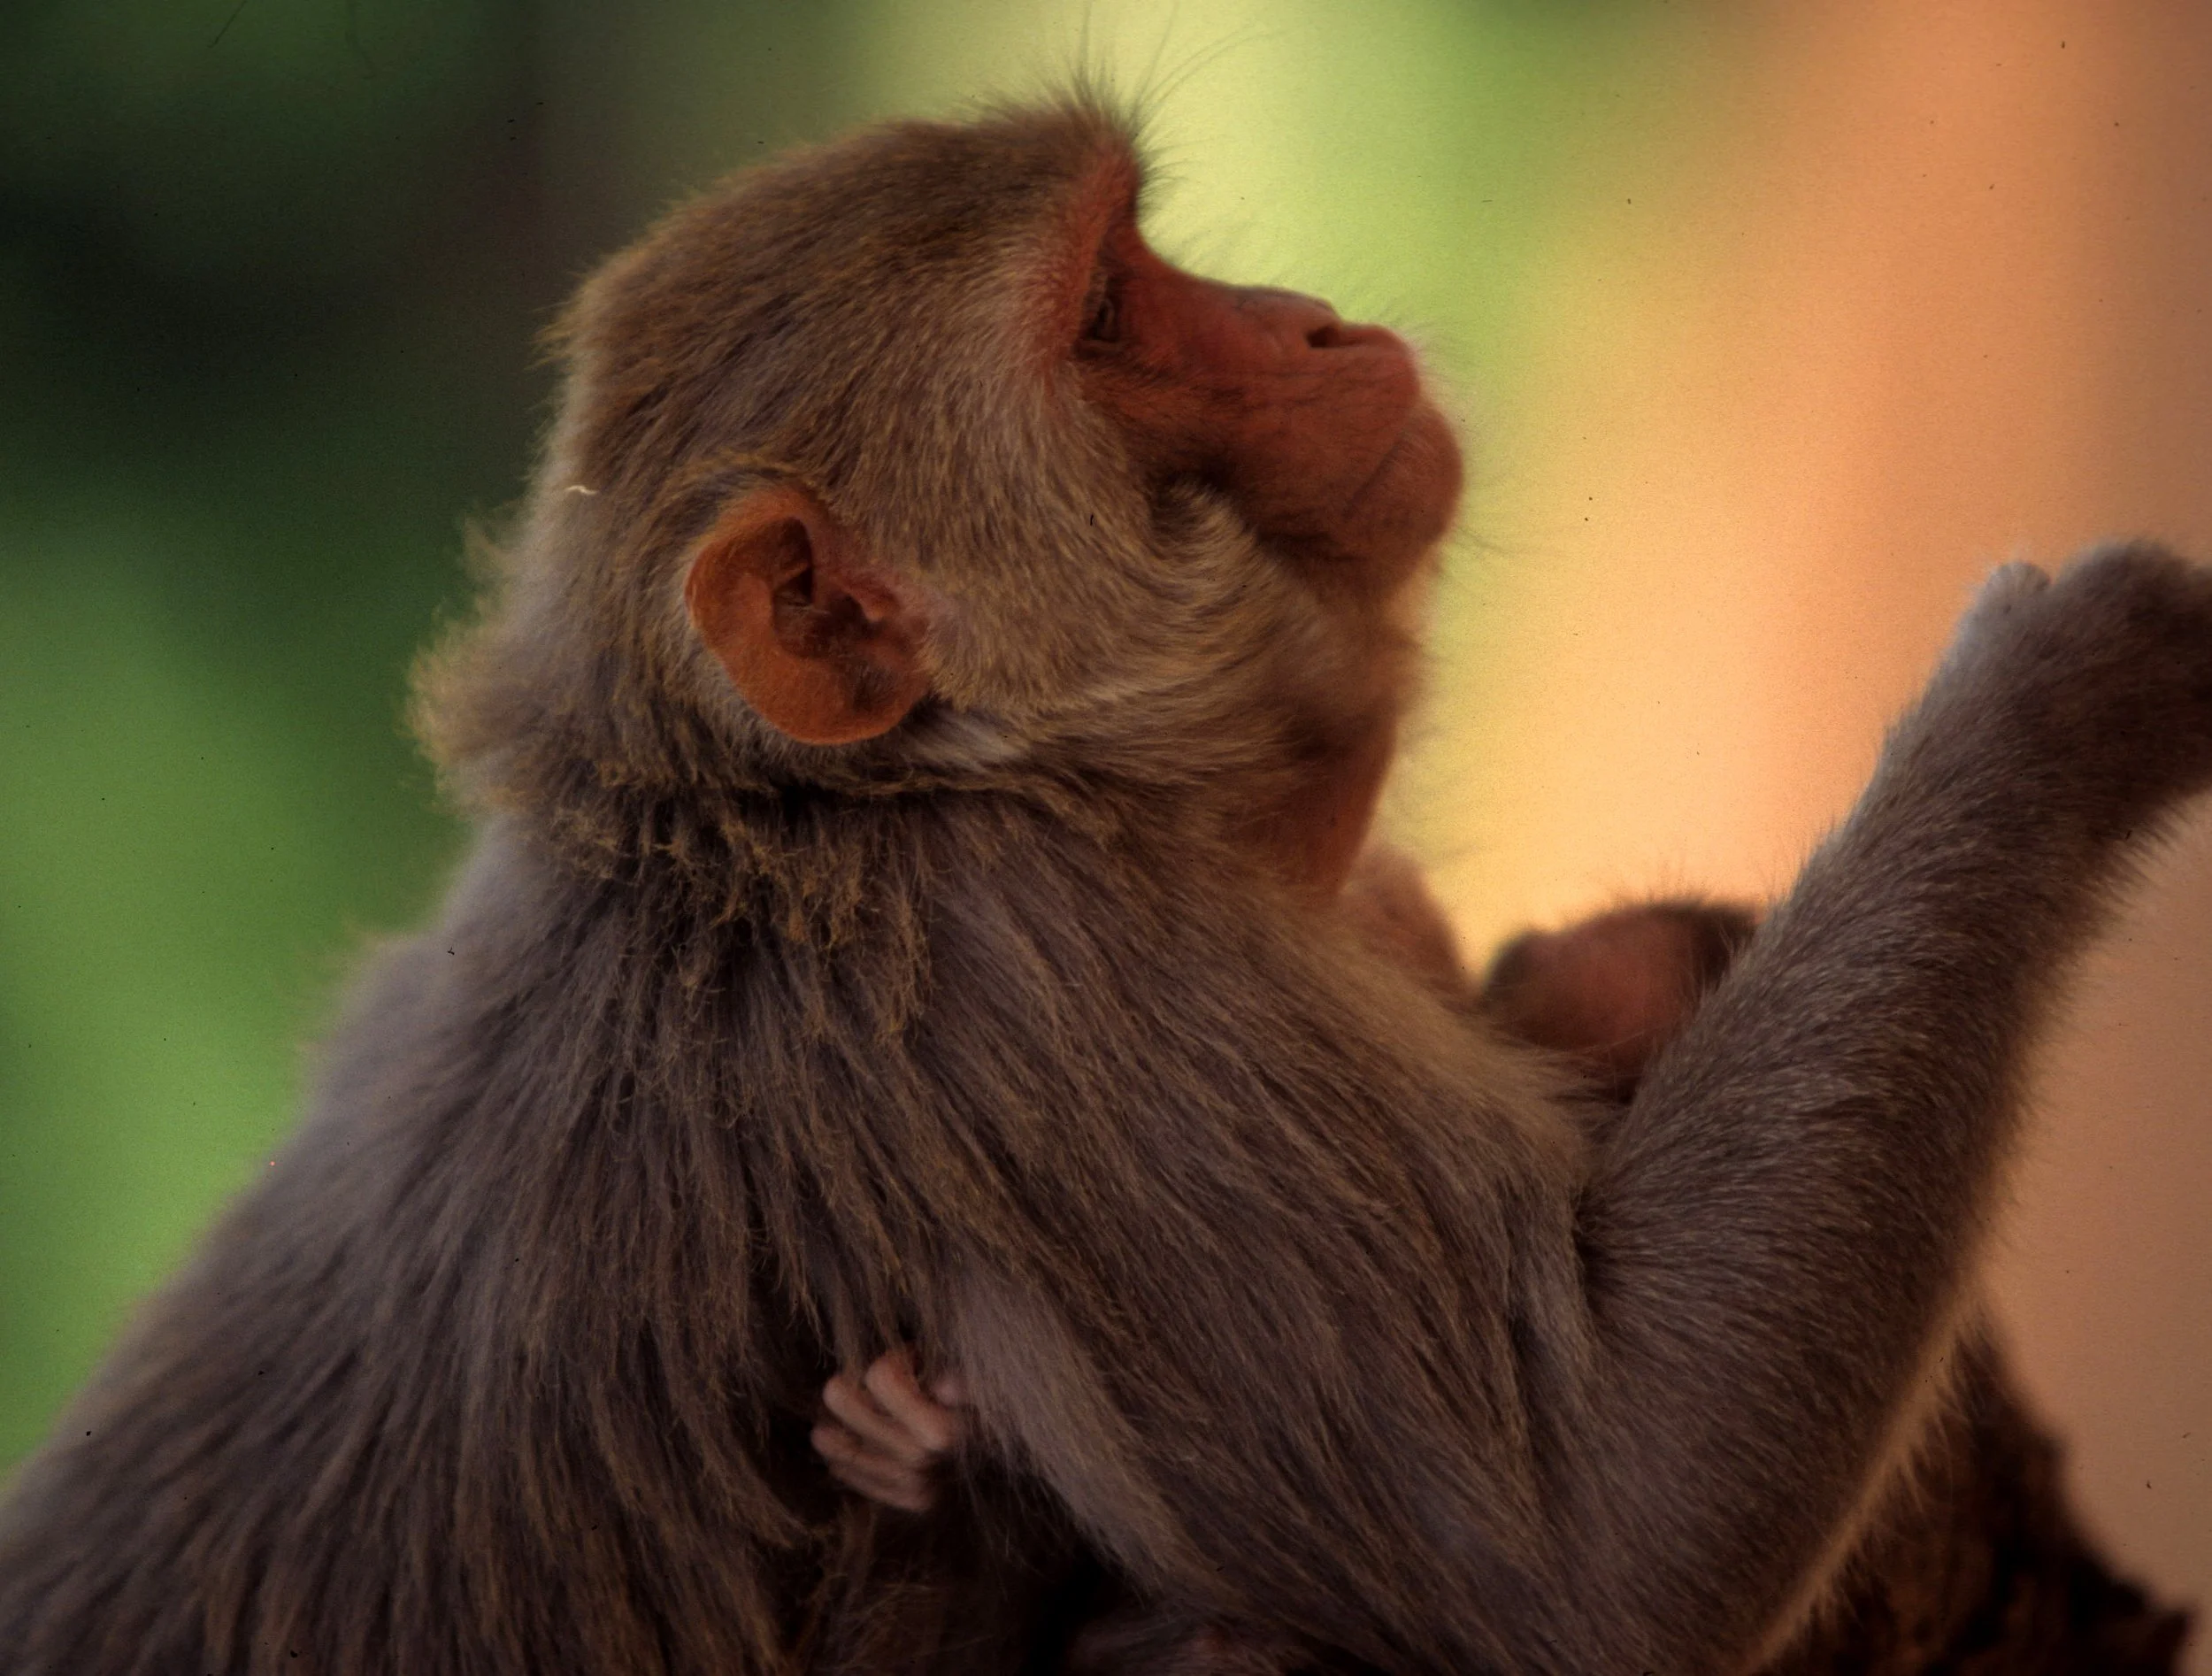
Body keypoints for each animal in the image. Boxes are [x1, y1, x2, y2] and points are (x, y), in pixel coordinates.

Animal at [3, 90, 2212, 1676]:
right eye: (1098, 317)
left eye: (1149, 251)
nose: (1314, 323)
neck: (830, 808)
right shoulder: (1044, 992)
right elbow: (1594, 1543)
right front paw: (2073, 681)